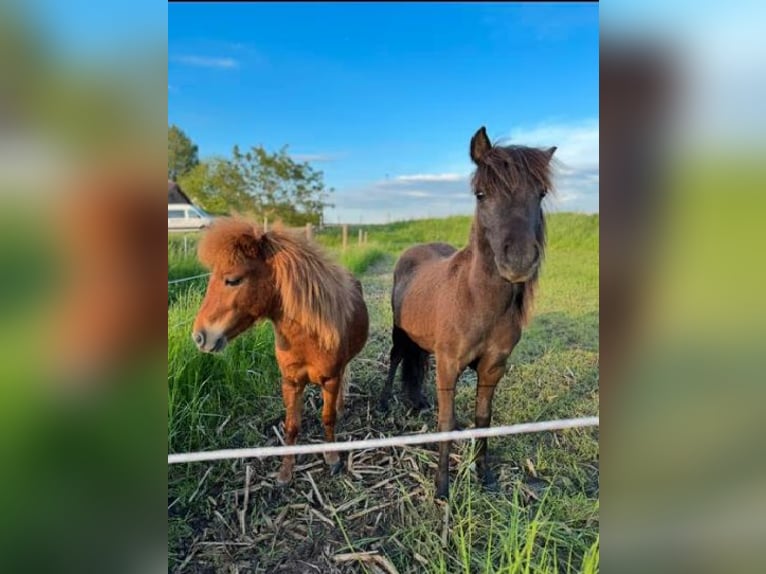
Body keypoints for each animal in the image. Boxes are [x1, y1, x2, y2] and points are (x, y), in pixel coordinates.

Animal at [194, 220, 370, 486]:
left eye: (233, 280)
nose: (199, 336)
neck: (307, 338)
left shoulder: (330, 379)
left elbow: (327, 418)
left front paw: (332, 458)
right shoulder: (291, 382)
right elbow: (291, 427)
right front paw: (285, 472)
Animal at [384, 126, 560, 500]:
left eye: (540, 194)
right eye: (481, 194)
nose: (519, 261)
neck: (478, 302)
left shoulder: (493, 367)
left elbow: (484, 419)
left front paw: (484, 475)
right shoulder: (449, 364)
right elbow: (446, 423)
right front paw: (441, 489)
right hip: (399, 332)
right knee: (395, 360)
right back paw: (383, 402)